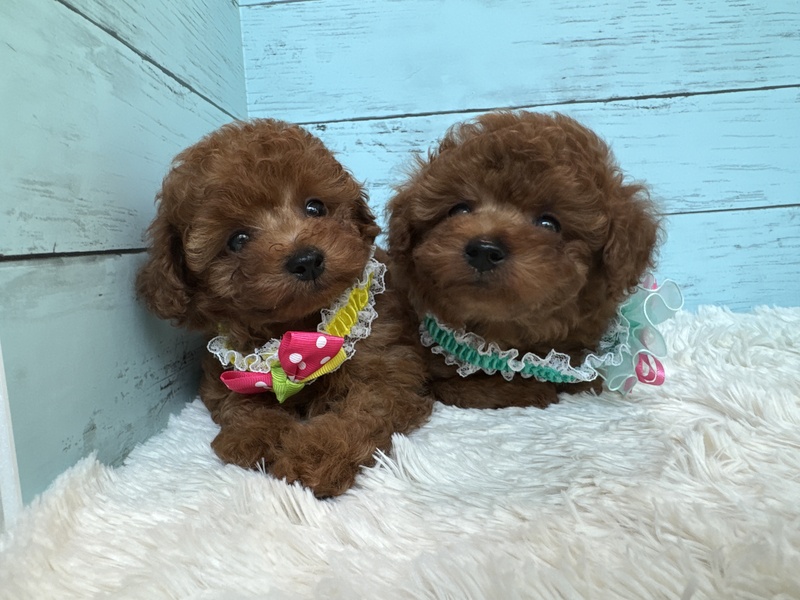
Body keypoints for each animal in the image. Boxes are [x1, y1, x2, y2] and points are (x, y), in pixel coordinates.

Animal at [137, 119, 432, 497]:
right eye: (237, 240)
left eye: (315, 207)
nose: (306, 260)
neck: (301, 334)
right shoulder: (227, 371)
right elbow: (236, 402)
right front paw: (254, 434)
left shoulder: (389, 373)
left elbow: (358, 417)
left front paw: (313, 456)